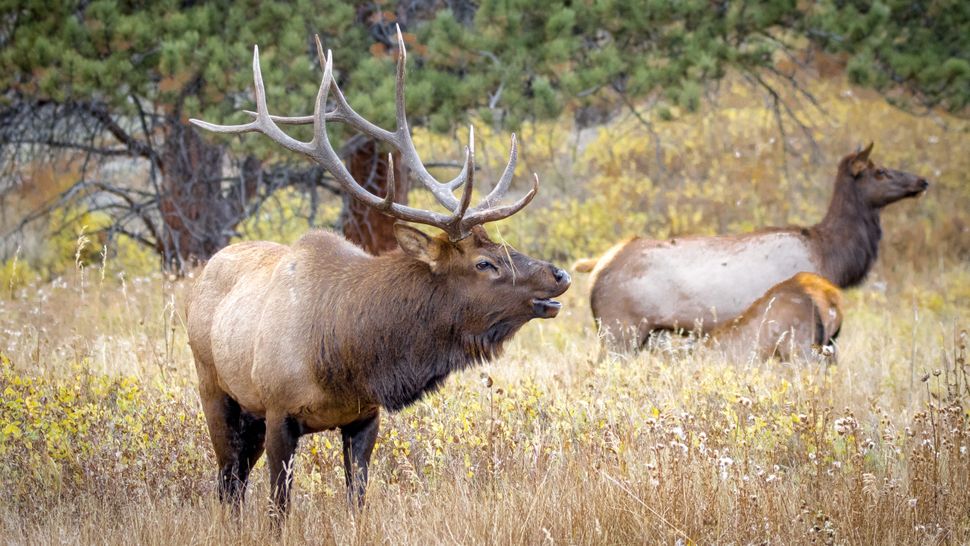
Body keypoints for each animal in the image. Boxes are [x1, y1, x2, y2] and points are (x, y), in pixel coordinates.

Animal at [185, 29, 572, 516]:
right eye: (484, 263)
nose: (559, 275)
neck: (348, 354)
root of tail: (206, 270)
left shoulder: (364, 417)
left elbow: (358, 501)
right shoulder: (278, 412)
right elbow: (279, 507)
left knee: (233, 481)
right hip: (217, 391)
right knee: (227, 481)